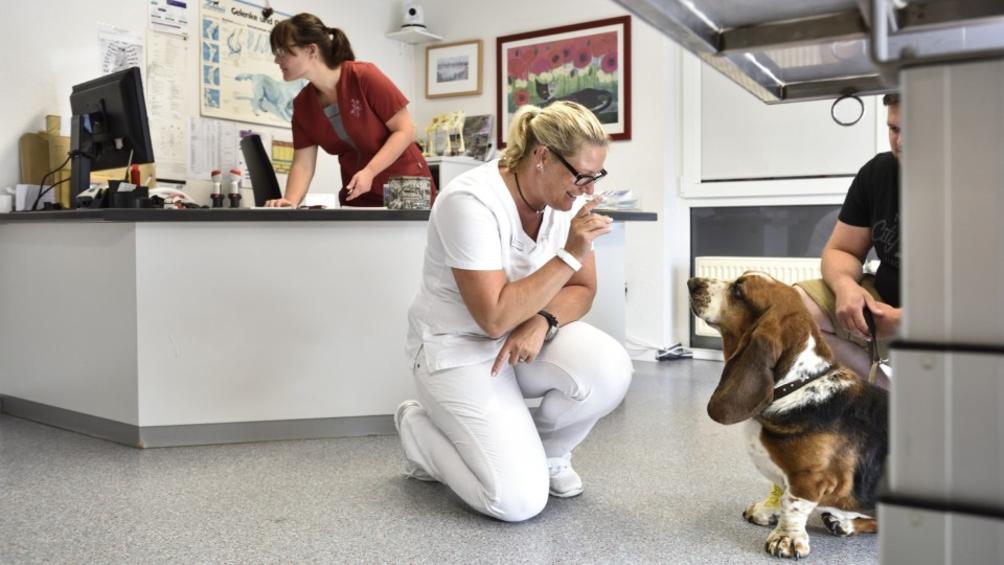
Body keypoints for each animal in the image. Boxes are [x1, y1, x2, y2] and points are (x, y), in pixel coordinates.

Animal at [690, 270, 887, 557]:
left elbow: (793, 505)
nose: (691, 282)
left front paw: (786, 538)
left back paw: (845, 523)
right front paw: (767, 511)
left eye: (738, 290)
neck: (796, 385)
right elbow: (780, 492)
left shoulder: (809, 479)